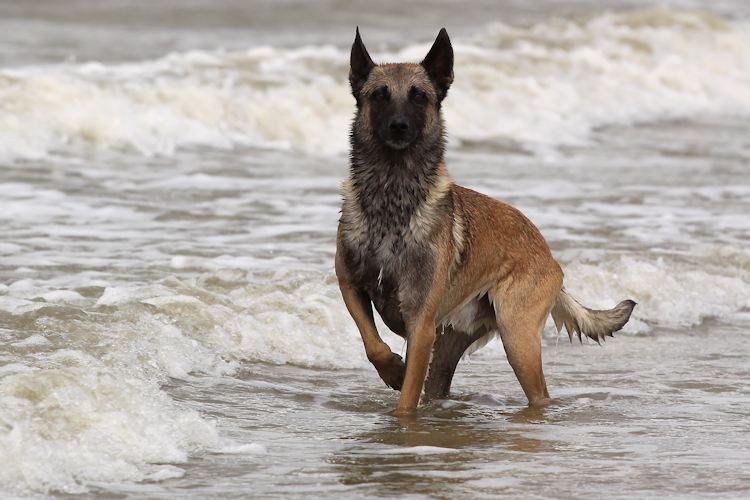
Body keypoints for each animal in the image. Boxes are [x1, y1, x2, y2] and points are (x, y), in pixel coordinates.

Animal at [334, 27, 636, 414]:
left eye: (418, 97)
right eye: (379, 95)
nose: (399, 127)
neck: (393, 196)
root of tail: (547, 252)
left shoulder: (421, 325)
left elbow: (406, 401)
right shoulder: (351, 286)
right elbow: (373, 344)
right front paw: (392, 370)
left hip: (517, 340)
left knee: (539, 393)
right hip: (450, 345)